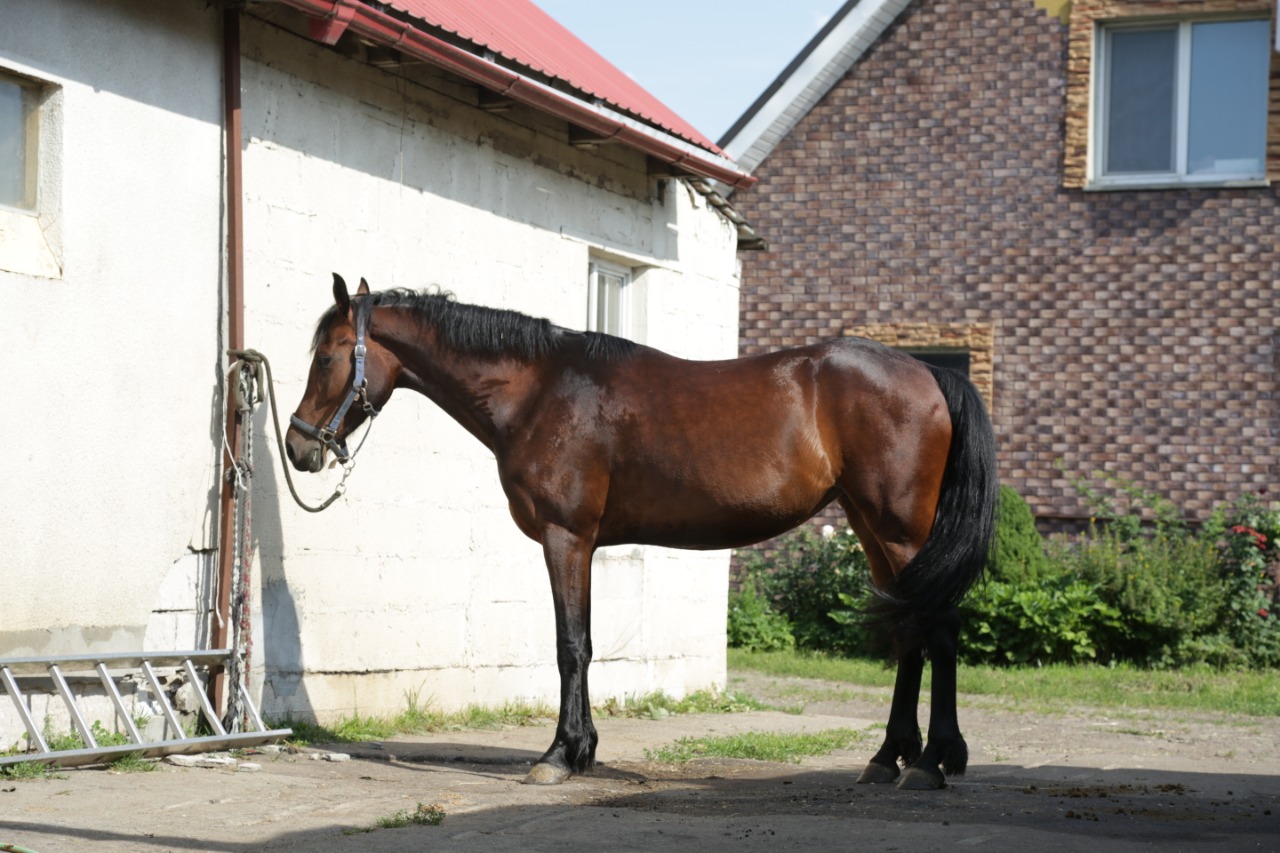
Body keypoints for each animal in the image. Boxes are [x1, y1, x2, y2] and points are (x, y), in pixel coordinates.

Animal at [285, 273, 999, 789]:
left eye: (326, 357)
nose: (299, 447)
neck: (538, 390)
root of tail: (931, 372)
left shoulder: (566, 538)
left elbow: (570, 645)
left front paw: (559, 755)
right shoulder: (582, 544)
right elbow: (584, 642)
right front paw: (582, 750)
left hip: (901, 528)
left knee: (939, 628)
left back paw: (932, 762)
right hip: (872, 529)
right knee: (909, 630)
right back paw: (887, 758)